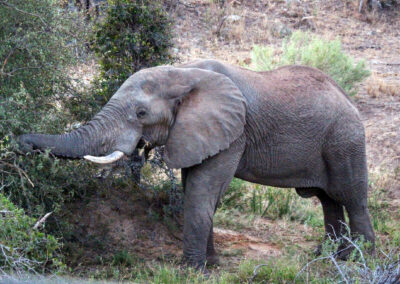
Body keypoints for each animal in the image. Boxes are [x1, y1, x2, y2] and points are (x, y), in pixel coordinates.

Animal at [18, 59, 376, 268]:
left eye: (141, 113)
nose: (19, 142)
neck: (184, 72)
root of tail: (348, 98)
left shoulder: (234, 132)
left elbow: (203, 190)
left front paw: (192, 269)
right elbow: (195, 186)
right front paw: (211, 264)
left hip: (345, 140)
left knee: (351, 197)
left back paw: (361, 262)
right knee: (328, 200)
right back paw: (329, 258)